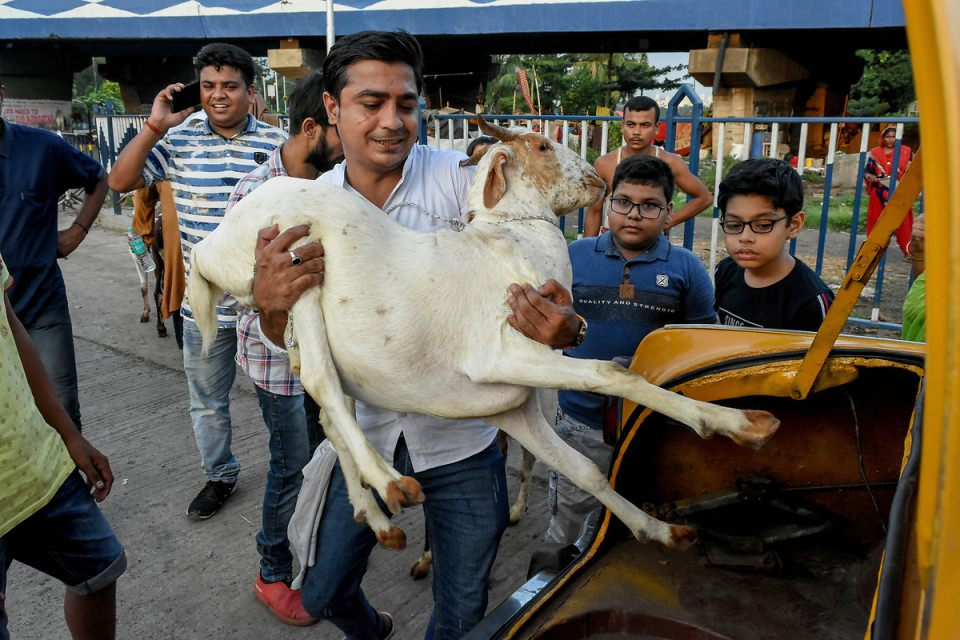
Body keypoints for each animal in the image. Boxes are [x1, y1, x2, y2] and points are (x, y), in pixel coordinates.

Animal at [188, 119, 780, 552]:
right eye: (540, 144)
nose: (598, 177)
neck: (515, 240)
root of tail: (212, 243)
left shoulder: (512, 406)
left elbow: (585, 470)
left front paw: (660, 530)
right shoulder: (503, 355)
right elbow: (614, 375)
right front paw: (737, 423)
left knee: (331, 411)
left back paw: (376, 518)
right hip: (297, 262)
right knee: (321, 384)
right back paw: (390, 481)